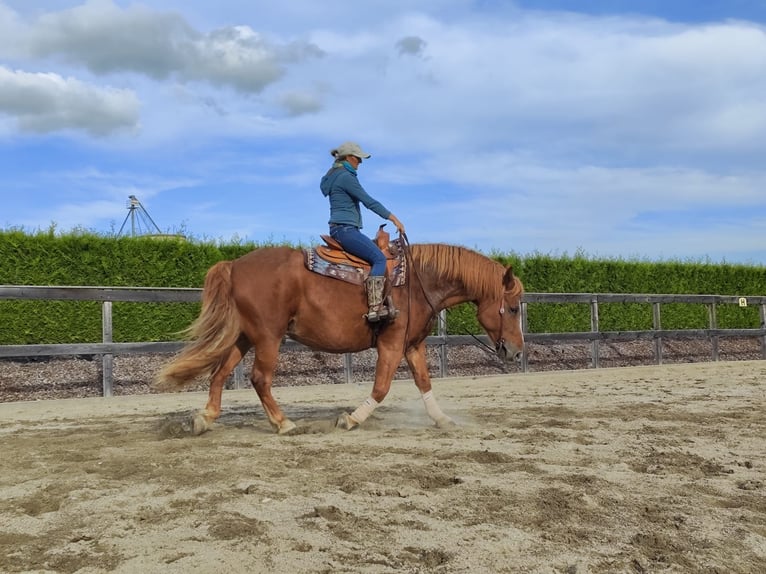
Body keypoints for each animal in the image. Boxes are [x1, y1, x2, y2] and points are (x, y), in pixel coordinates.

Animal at [158, 243, 528, 436]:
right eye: (511, 308)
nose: (515, 352)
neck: (417, 284)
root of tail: (234, 265)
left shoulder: (413, 345)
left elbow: (424, 382)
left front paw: (442, 420)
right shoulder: (391, 345)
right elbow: (381, 387)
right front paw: (350, 418)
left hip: (244, 337)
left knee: (220, 373)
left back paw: (205, 418)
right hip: (267, 337)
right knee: (260, 378)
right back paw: (283, 423)